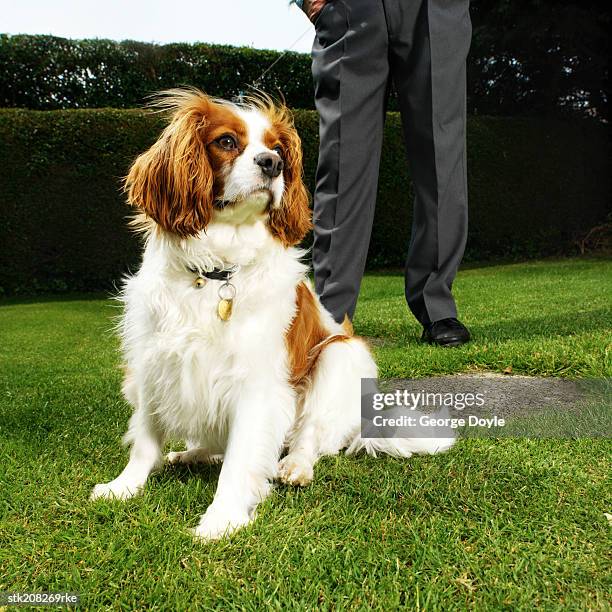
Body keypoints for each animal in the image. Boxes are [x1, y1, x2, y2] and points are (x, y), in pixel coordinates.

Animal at [92, 87, 454, 540]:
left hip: (341, 354)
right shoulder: (152, 364)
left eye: (278, 148)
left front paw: (222, 518)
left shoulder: (257, 383)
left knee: (309, 439)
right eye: (227, 141)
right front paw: (124, 486)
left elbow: (241, 458)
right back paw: (193, 454)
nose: (273, 163)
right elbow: (145, 437)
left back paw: (293, 466)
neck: (216, 272)